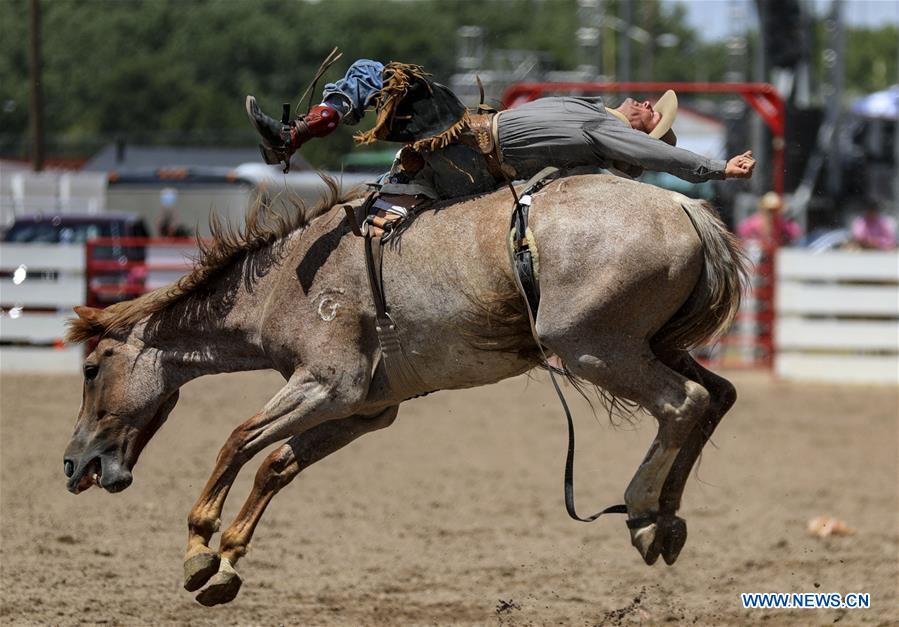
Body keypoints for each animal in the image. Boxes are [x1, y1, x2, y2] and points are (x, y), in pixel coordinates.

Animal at [63, 174, 748, 604]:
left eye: (92, 368)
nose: (75, 464)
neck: (284, 282)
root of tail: (688, 210)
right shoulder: (365, 410)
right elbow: (277, 464)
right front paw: (227, 563)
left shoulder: (325, 387)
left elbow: (238, 440)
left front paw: (198, 549)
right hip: (651, 346)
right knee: (716, 397)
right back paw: (665, 520)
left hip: (594, 347)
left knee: (682, 403)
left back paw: (642, 510)